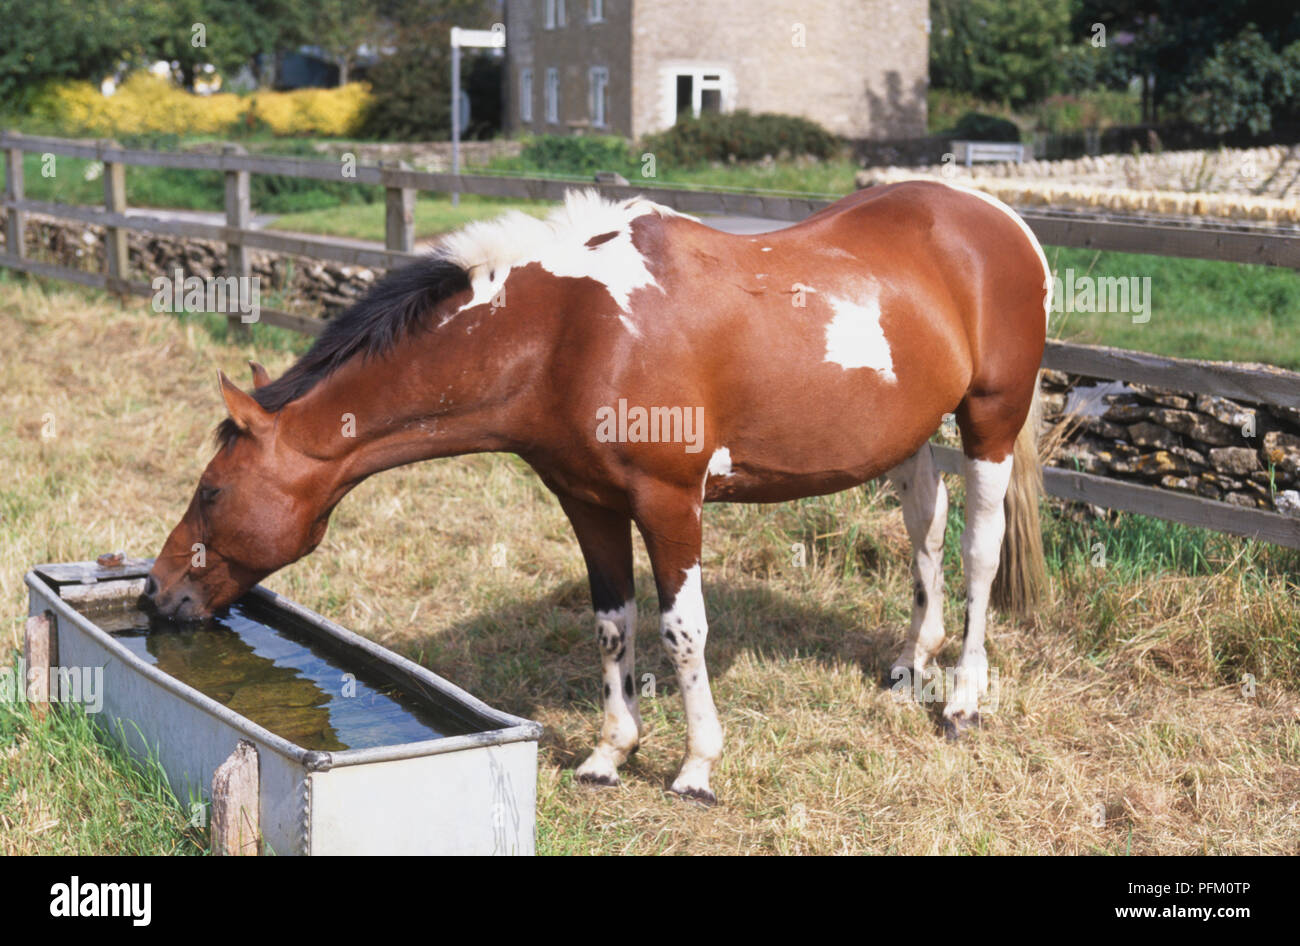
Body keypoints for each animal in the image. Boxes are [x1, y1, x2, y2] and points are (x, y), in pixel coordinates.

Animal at [147, 180, 1050, 800]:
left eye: (214, 491)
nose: (158, 594)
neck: (566, 332)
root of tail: (1002, 221)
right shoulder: (588, 503)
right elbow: (614, 627)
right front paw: (610, 753)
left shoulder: (670, 502)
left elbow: (682, 632)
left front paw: (696, 766)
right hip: (908, 437)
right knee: (924, 525)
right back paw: (911, 661)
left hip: (990, 422)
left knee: (977, 551)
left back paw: (962, 698)